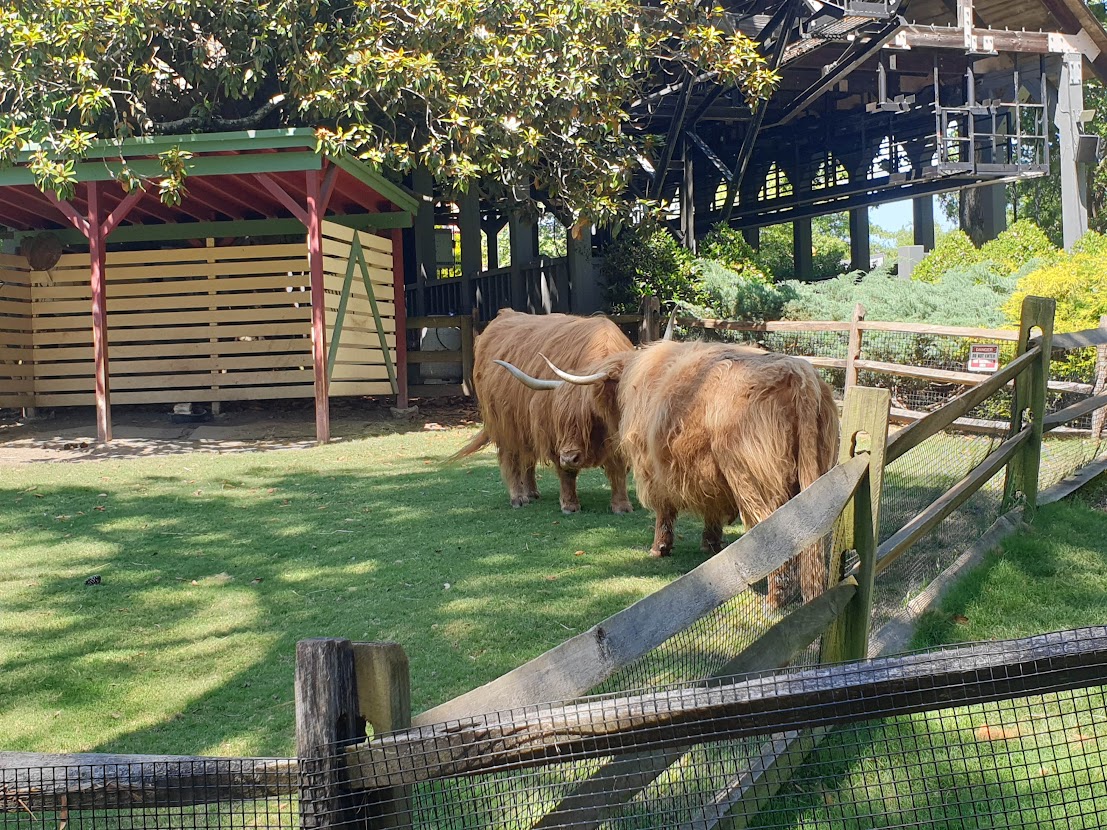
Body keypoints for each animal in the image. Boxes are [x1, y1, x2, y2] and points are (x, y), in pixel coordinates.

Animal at [450, 309, 635, 515]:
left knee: (527, 456)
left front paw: (622, 506)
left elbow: (618, 468)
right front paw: (570, 505)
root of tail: (504, 314)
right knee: (511, 458)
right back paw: (518, 498)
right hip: (504, 424)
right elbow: (566, 472)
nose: (570, 457)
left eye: (592, 417)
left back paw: (532, 492)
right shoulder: (553, 433)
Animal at [497, 339, 839, 607]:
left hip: (752, 480)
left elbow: (664, 509)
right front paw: (710, 543)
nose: (569, 456)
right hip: (818, 476)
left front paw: (659, 548)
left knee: (777, 532)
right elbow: (711, 508)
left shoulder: (652, 467)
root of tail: (801, 376)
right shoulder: (705, 472)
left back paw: (775, 600)